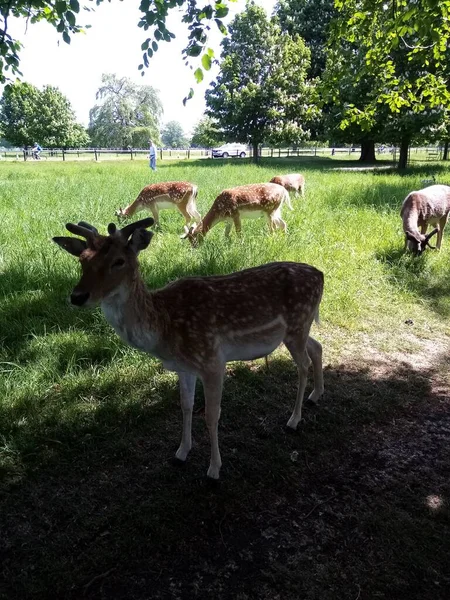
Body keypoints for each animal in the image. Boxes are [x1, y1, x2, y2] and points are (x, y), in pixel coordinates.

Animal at [52, 218, 326, 480]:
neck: (165, 329)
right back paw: (315, 395)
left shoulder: (212, 361)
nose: (77, 296)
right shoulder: (184, 367)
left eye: (118, 261)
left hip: (297, 324)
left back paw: (293, 419)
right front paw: (181, 452)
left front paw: (214, 469)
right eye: (82, 260)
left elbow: (211, 415)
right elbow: (186, 406)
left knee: (303, 364)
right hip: (300, 328)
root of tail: (321, 274)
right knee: (317, 346)